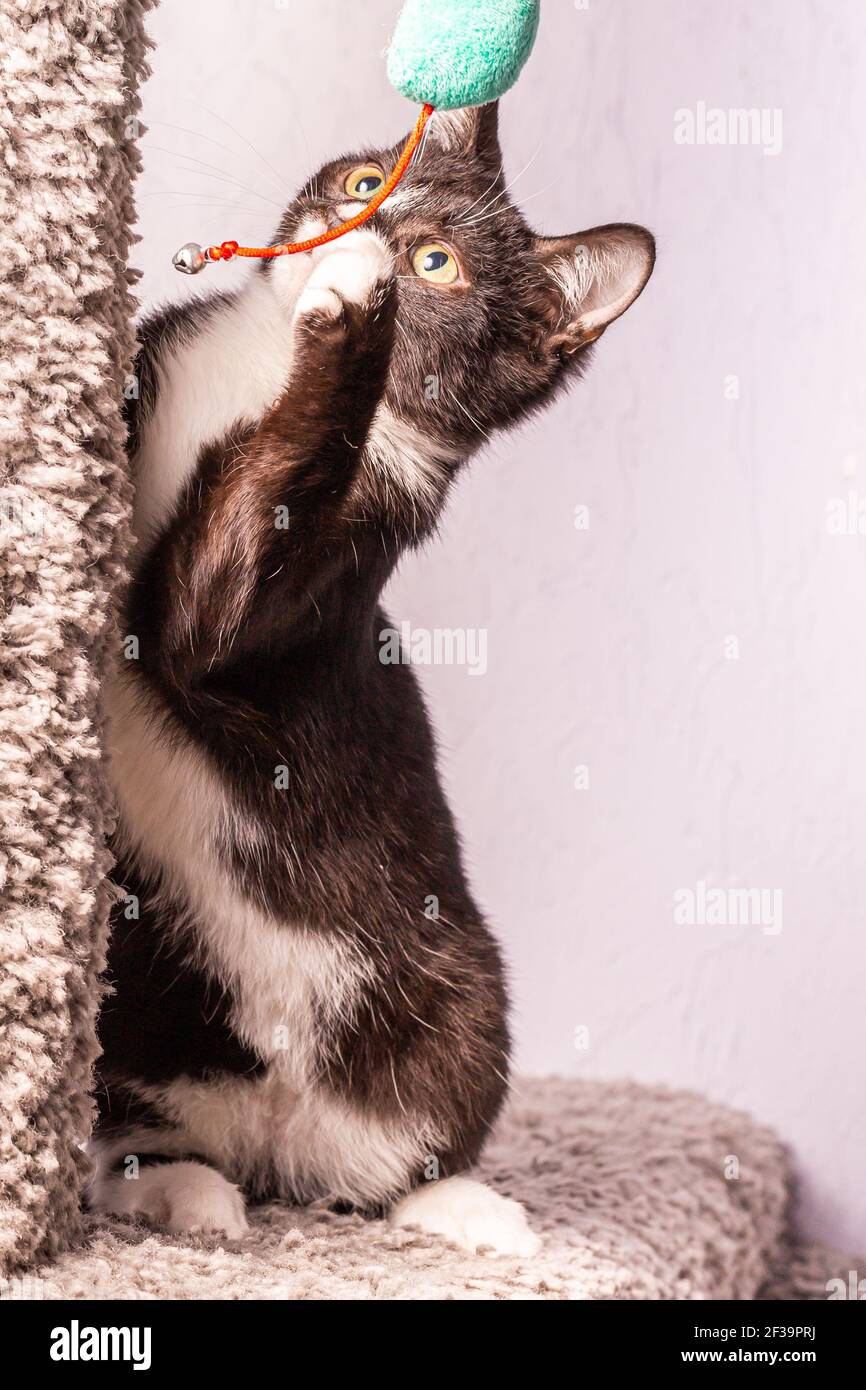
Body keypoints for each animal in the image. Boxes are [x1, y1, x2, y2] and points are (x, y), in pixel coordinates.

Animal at [89, 102, 656, 1256]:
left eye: (436, 263)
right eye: (362, 180)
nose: (364, 228)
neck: (256, 369)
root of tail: (278, 1139)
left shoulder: (333, 549)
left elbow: (213, 593)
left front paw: (360, 311)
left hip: (459, 988)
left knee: (414, 1138)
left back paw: (465, 1206)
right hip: (144, 982)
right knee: (139, 1130)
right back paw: (183, 1195)